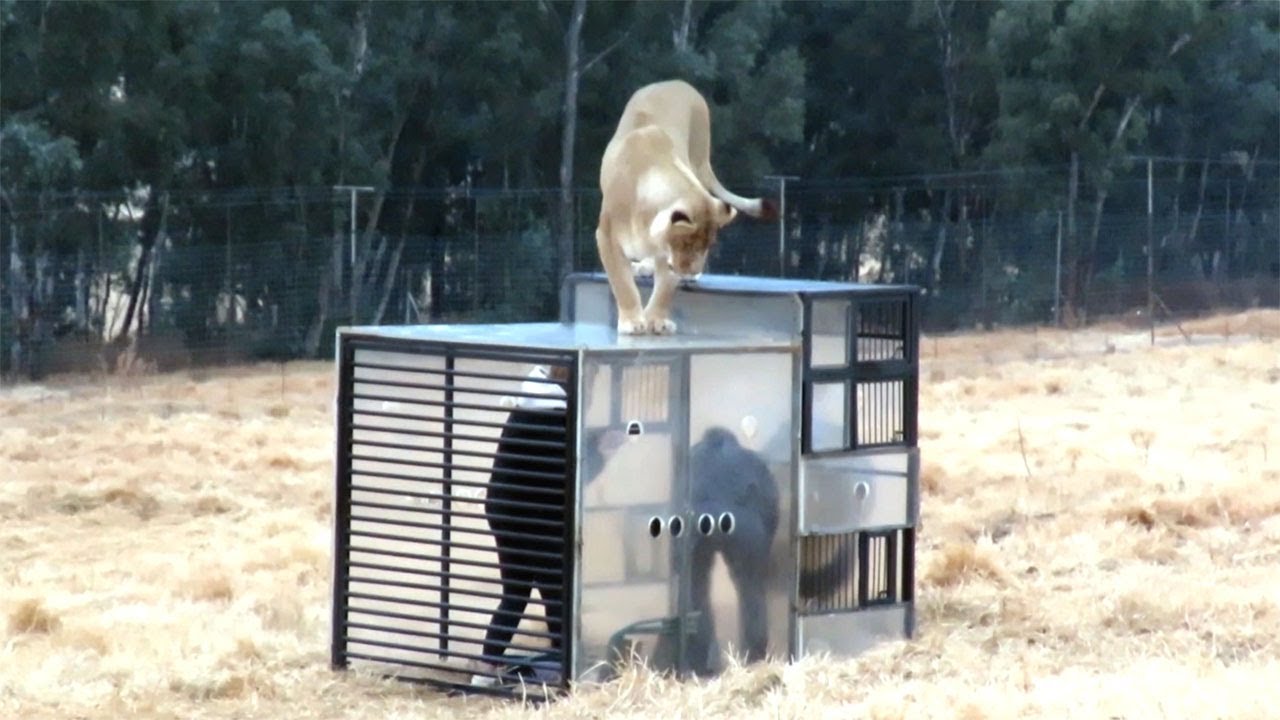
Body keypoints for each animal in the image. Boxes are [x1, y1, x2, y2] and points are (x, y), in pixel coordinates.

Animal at [595, 80, 778, 335]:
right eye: (687, 243)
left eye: (707, 246)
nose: (690, 272)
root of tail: (676, 82)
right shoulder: (607, 237)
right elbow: (622, 284)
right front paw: (632, 321)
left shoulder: (669, 254)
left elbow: (664, 288)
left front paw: (657, 320)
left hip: (699, 155)